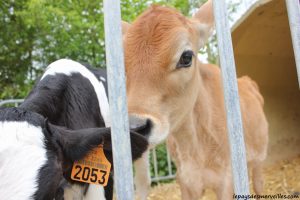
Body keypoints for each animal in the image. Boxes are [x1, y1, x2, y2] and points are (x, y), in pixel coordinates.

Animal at [123, 0, 268, 199]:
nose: (134, 128)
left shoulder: (226, 180)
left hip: (260, 157)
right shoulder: (185, 181)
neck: (192, 148)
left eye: (186, 57)